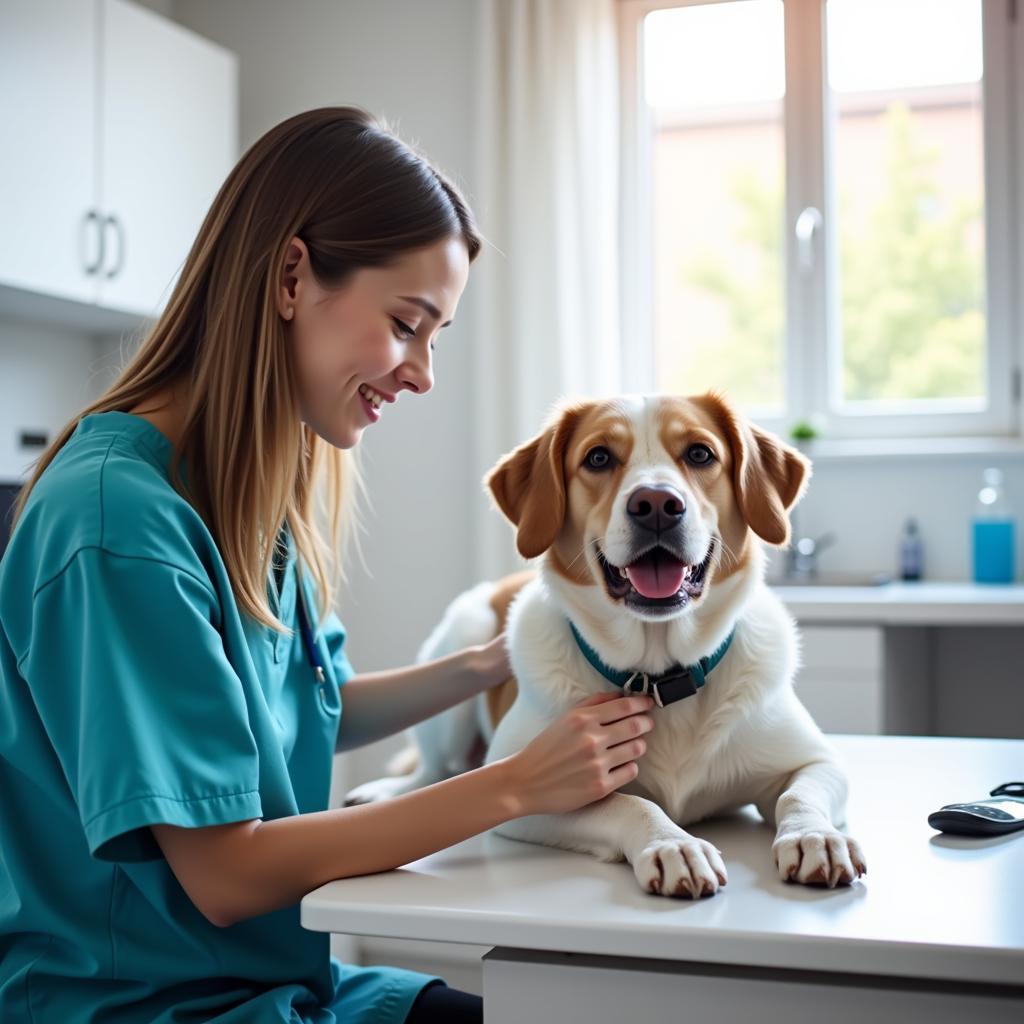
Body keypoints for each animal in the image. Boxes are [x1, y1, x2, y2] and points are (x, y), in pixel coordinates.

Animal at [348, 391, 868, 897]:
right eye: (598, 457)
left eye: (700, 453)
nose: (656, 503)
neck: (661, 674)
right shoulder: (525, 787)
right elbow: (628, 803)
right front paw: (673, 844)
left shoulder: (815, 760)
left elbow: (798, 794)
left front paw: (815, 837)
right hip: (463, 648)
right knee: (432, 769)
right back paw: (384, 791)